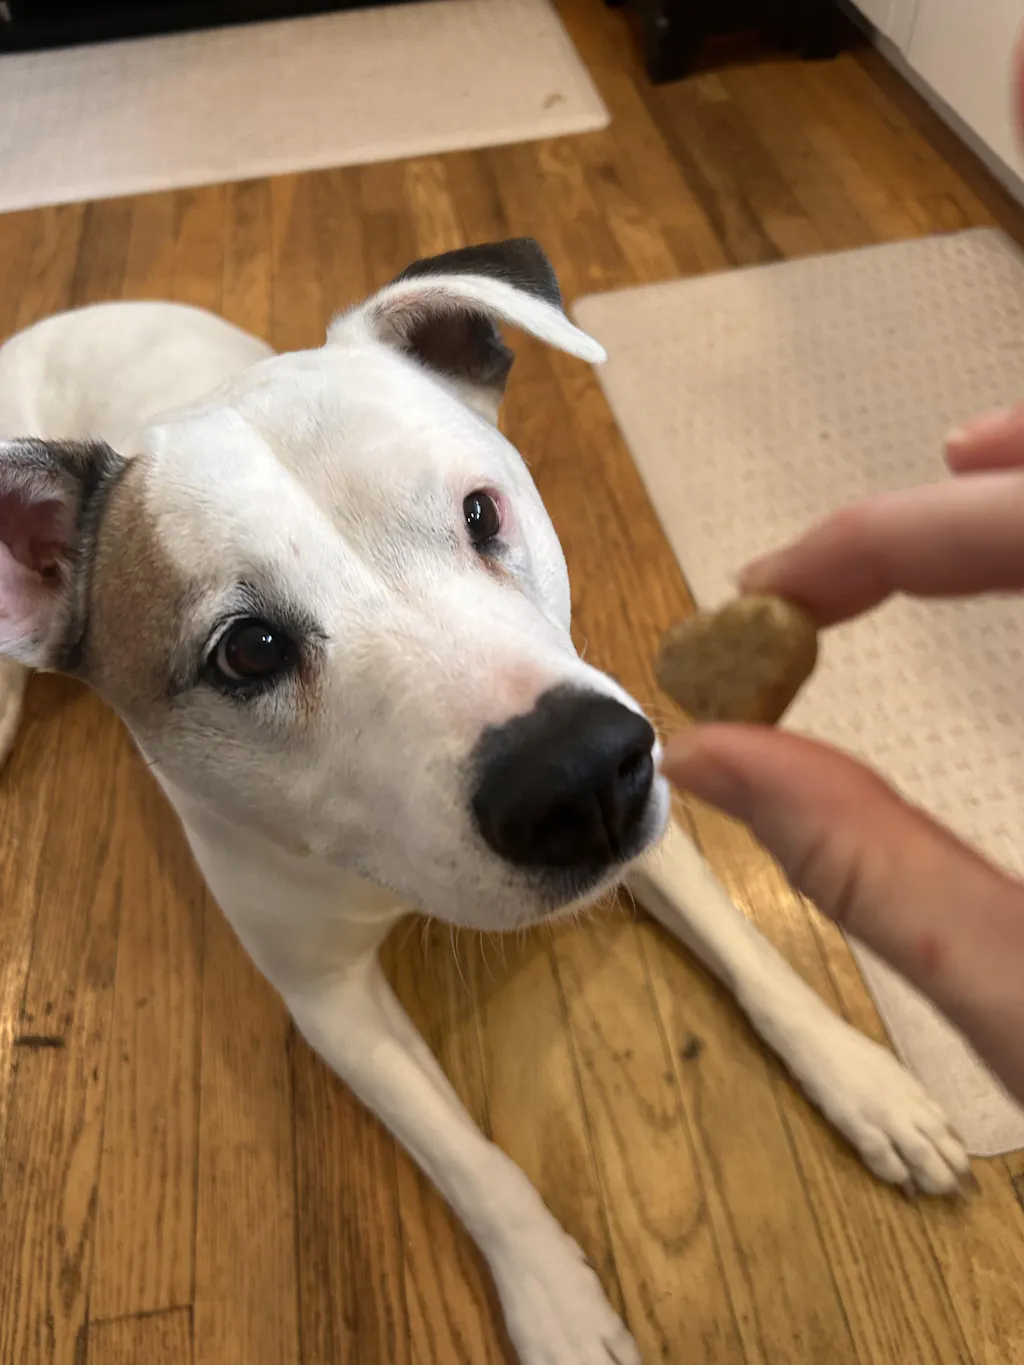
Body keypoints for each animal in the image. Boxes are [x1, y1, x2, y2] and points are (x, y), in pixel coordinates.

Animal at [0, 239, 968, 1364]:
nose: (578, 775)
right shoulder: (331, 1002)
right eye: (247, 652)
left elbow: (749, 951)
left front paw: (863, 1079)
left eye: (479, 511)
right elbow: (473, 1161)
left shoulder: (648, 805)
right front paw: (557, 1301)